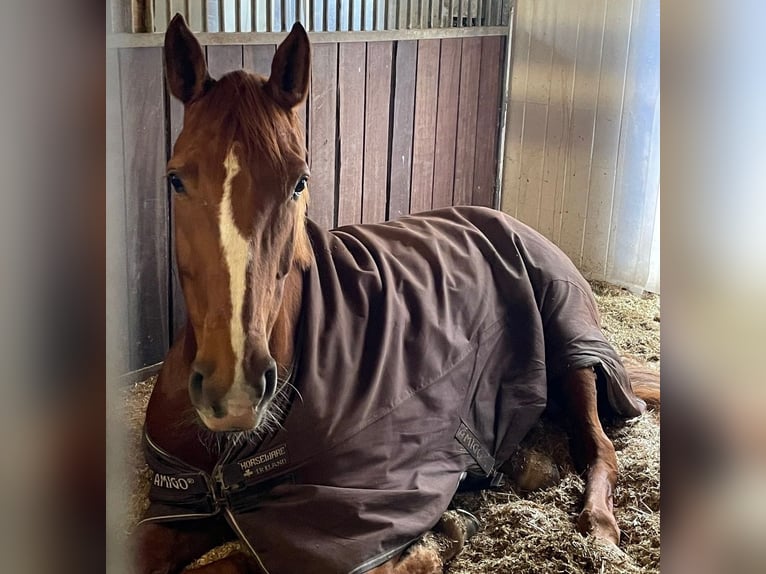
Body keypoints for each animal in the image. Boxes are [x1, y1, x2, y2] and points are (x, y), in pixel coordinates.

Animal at [130, 14, 660, 574]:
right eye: (175, 179)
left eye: (299, 181)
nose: (233, 392)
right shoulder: (177, 509)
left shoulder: (330, 534)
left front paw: (436, 541)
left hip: (573, 352)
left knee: (599, 448)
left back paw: (597, 530)